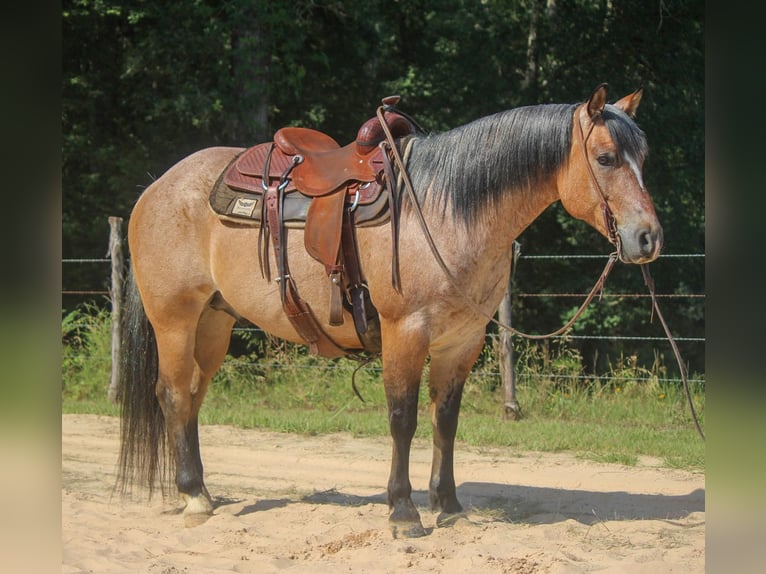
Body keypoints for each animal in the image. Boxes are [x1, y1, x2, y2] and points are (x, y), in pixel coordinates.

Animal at [115, 85, 664, 540]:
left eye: (644, 157)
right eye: (606, 157)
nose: (648, 238)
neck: (447, 211)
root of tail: (155, 188)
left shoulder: (462, 342)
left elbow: (446, 420)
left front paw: (449, 505)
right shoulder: (407, 332)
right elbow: (403, 419)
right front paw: (403, 511)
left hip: (214, 322)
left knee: (192, 395)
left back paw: (200, 490)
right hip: (175, 319)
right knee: (172, 395)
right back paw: (194, 497)